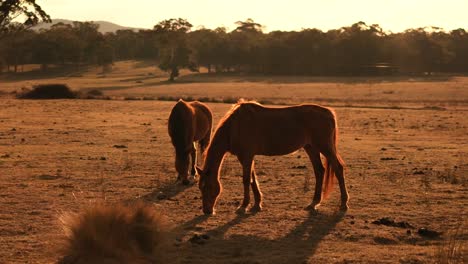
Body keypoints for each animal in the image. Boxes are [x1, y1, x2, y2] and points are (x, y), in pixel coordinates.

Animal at [196, 100, 350, 214]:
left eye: (207, 186)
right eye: (200, 187)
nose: (207, 211)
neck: (234, 127)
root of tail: (328, 112)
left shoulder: (246, 156)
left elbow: (246, 180)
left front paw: (243, 206)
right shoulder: (245, 157)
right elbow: (253, 179)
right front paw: (257, 204)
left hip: (325, 147)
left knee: (338, 168)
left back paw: (343, 204)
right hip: (311, 148)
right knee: (319, 171)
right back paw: (314, 203)